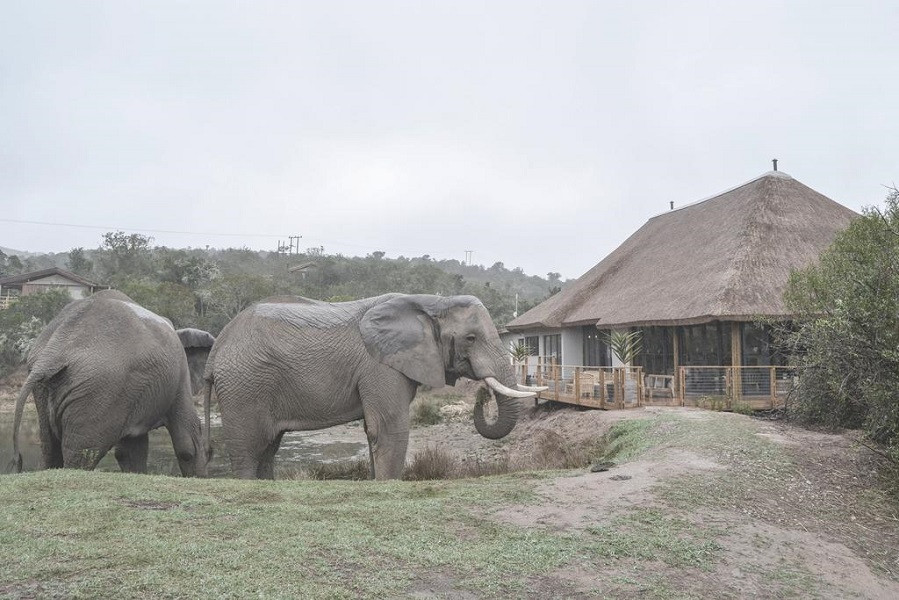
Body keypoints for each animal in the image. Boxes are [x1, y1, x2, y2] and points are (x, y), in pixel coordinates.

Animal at [10, 290, 214, 476]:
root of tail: (53, 352)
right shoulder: (179, 378)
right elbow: (187, 444)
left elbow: (130, 450)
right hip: (98, 391)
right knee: (83, 455)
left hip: (48, 388)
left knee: (49, 450)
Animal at [205, 293, 545, 480]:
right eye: (471, 338)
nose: (482, 394)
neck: (432, 302)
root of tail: (218, 344)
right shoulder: (380, 365)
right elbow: (388, 430)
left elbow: (375, 431)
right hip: (244, 385)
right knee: (249, 450)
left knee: (268, 448)